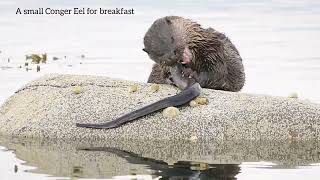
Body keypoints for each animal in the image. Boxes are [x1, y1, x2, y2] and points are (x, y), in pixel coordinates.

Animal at [77, 15, 245, 129]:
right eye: (161, 54)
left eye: (172, 39)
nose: (175, 56)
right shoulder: (162, 66)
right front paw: (171, 77)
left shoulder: (217, 53)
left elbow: (216, 73)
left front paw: (193, 74)